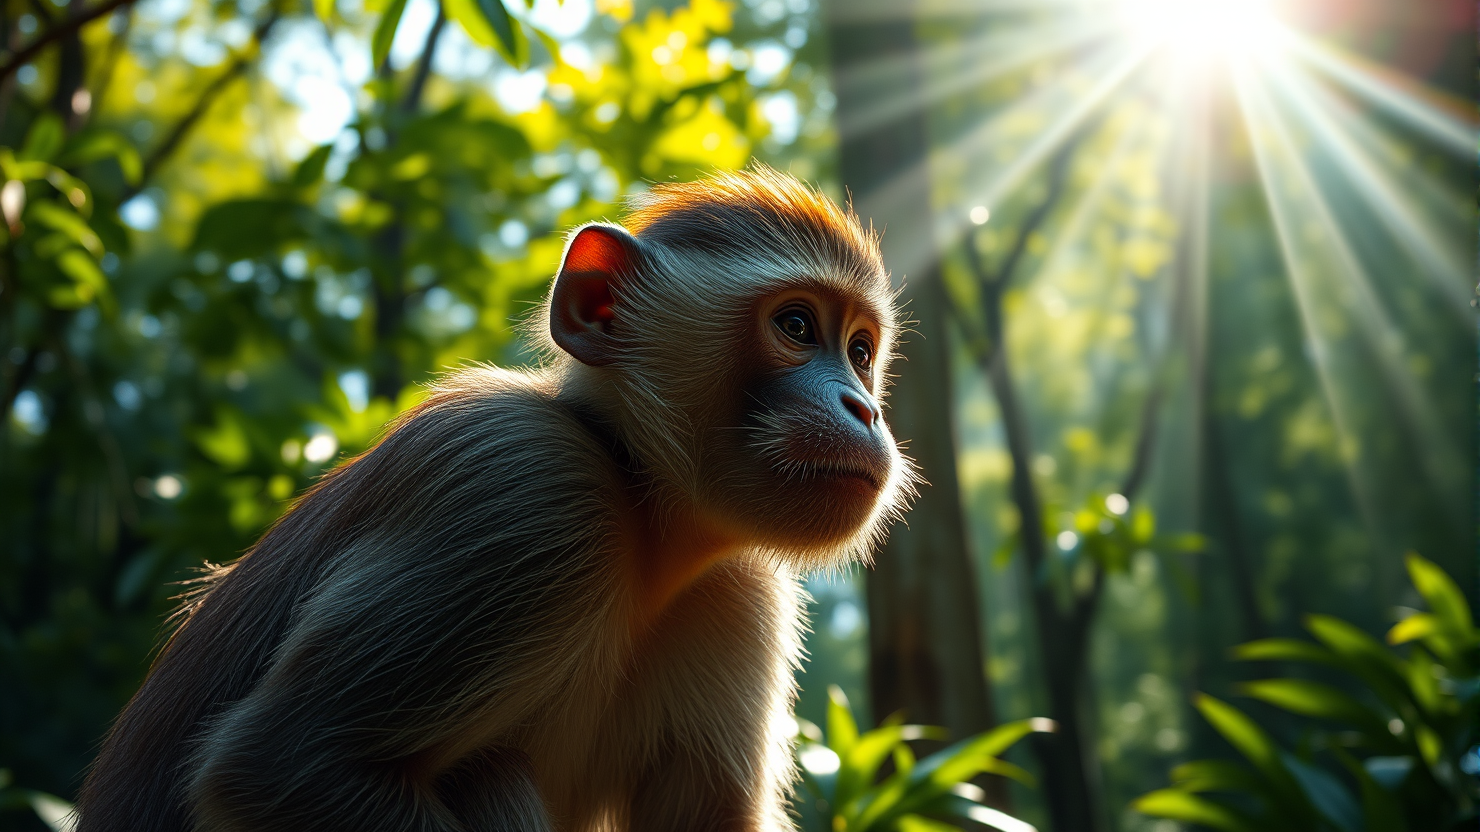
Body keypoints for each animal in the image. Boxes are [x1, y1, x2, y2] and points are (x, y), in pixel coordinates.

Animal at [76, 166, 915, 832]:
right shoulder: (523, 487)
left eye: (860, 351)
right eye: (797, 325)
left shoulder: (737, 591)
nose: (863, 409)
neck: (641, 521)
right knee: (483, 768)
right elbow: (278, 763)